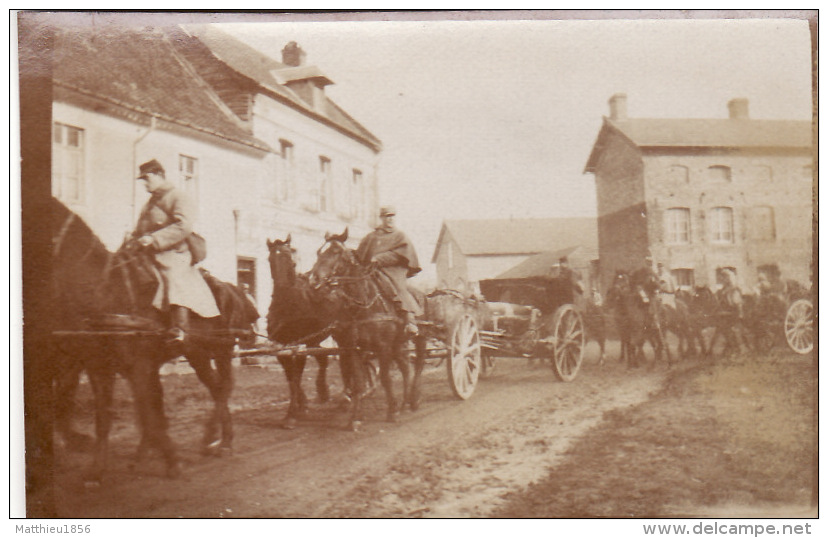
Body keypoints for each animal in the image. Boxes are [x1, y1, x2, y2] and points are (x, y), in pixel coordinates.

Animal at [51, 198, 256, 482]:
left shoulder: (138, 367)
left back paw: (220, 440)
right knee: (217, 388)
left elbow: (149, 414)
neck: (106, 291)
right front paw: (97, 470)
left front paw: (170, 460)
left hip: (221, 350)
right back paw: (213, 439)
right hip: (198, 354)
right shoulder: (100, 367)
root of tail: (234, 289)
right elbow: (106, 416)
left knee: (223, 388)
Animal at [308, 228, 426, 430]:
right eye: (318, 253)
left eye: (335, 252)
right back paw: (405, 401)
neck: (364, 305)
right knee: (405, 367)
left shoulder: (383, 347)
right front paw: (356, 417)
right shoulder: (354, 348)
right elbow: (359, 383)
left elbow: (385, 378)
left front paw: (392, 411)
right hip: (398, 344)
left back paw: (413, 399)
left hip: (418, 339)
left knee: (417, 365)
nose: (313, 280)